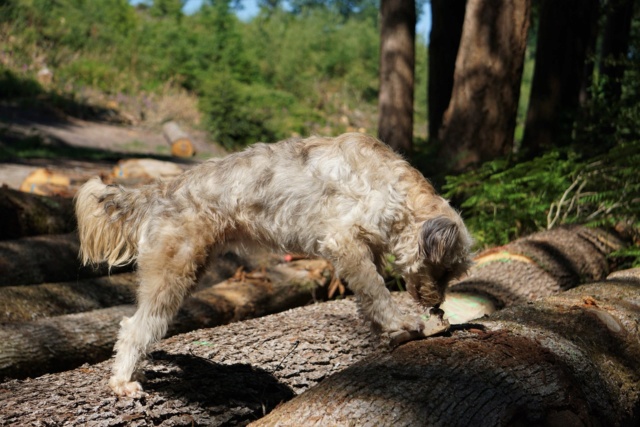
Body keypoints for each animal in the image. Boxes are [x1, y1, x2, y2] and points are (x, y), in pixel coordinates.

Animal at [76, 134, 476, 398]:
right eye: (444, 270)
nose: (437, 304)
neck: (399, 191)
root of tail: (161, 191)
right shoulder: (344, 241)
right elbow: (378, 291)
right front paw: (403, 323)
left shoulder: (363, 250)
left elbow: (368, 296)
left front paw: (387, 331)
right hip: (174, 273)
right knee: (134, 328)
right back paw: (123, 382)